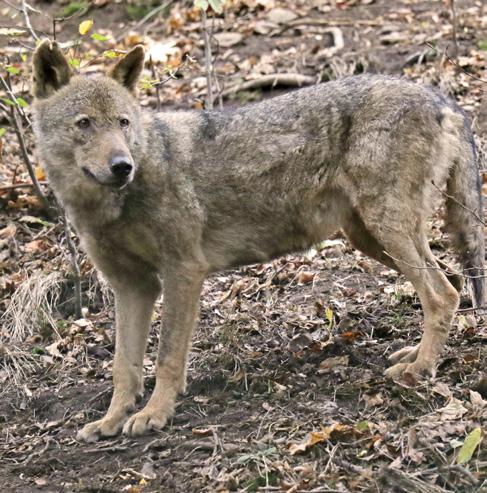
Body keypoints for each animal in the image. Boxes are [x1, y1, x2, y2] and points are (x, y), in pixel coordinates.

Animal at [32, 39, 486, 442]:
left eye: (123, 123)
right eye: (85, 124)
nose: (122, 165)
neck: (113, 202)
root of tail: (442, 98)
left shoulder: (183, 272)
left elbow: (166, 357)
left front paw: (155, 413)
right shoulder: (132, 288)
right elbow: (123, 366)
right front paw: (111, 421)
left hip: (386, 229)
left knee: (443, 293)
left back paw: (419, 370)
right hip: (370, 237)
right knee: (452, 285)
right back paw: (416, 356)